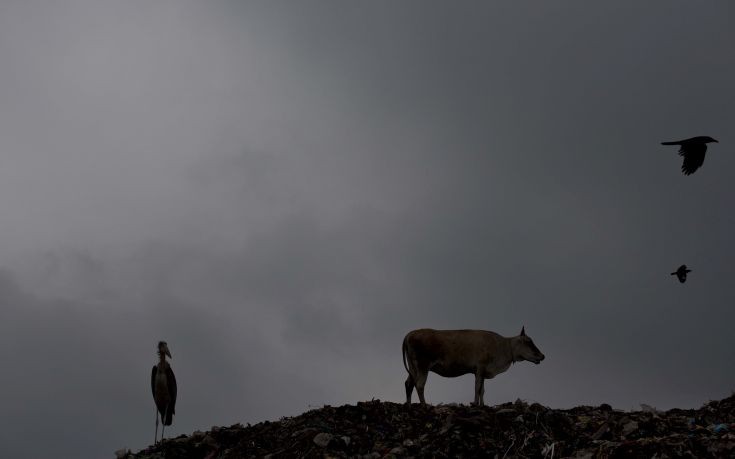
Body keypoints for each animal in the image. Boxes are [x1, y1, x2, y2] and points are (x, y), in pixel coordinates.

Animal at [406, 328, 544, 406]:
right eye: (528, 342)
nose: (542, 356)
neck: (503, 346)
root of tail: (410, 334)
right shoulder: (480, 368)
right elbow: (477, 388)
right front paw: (475, 404)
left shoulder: (481, 371)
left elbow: (482, 390)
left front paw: (482, 404)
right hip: (423, 366)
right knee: (420, 385)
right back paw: (424, 405)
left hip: (413, 368)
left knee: (409, 384)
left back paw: (408, 404)